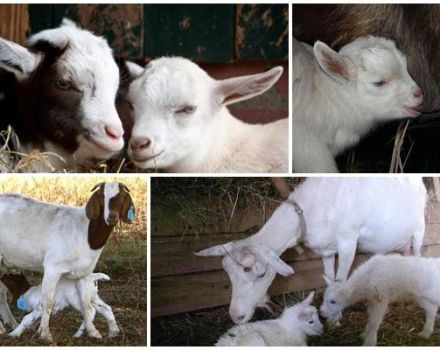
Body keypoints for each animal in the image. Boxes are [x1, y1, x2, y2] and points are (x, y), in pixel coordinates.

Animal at [196, 179, 426, 324]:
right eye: (228, 274)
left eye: (260, 273)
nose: (236, 317)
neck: (313, 206)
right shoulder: (326, 250)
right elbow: (329, 276)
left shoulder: (348, 242)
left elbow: (341, 280)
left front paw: (335, 316)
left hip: (419, 229)